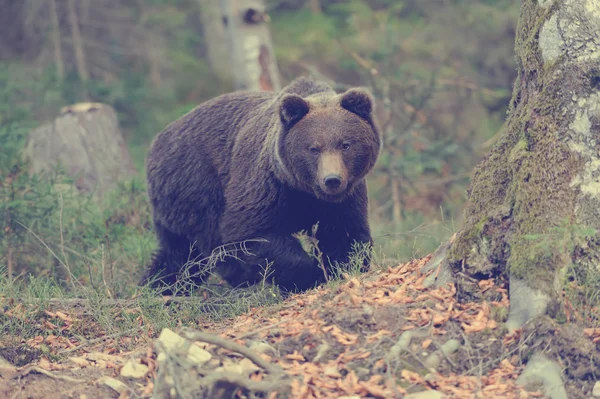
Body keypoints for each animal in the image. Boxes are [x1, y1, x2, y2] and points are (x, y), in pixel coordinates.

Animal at [142, 78, 380, 296]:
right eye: (313, 148)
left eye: (345, 144)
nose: (332, 180)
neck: (303, 189)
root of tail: (156, 143)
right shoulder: (267, 184)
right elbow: (253, 233)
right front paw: (309, 276)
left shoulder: (344, 197)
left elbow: (343, 234)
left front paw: (340, 269)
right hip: (196, 187)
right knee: (207, 243)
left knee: (178, 255)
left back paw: (157, 288)